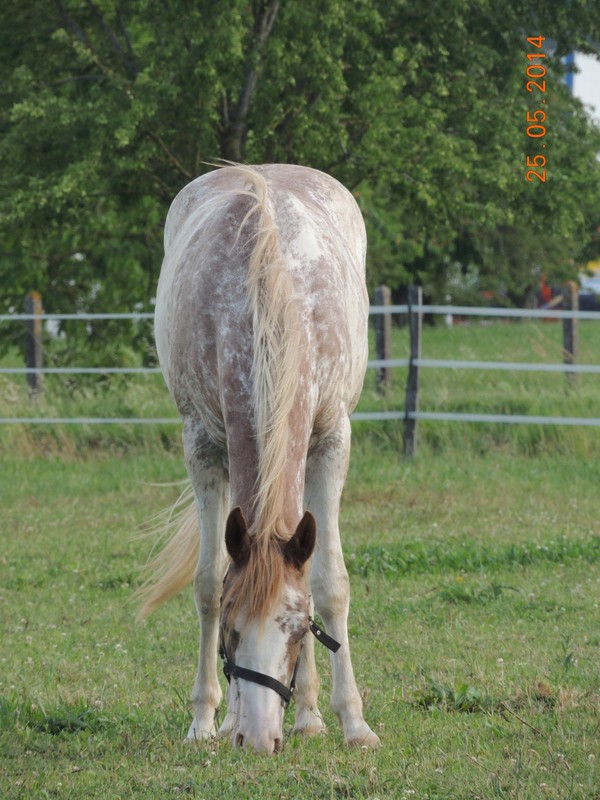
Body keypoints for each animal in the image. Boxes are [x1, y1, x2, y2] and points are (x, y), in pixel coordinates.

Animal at [139, 164, 380, 756]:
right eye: (231, 629)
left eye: (296, 630)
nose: (257, 738)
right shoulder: (202, 445)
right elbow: (208, 581)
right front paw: (204, 720)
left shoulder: (331, 441)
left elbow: (329, 583)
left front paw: (352, 722)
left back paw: (310, 717)